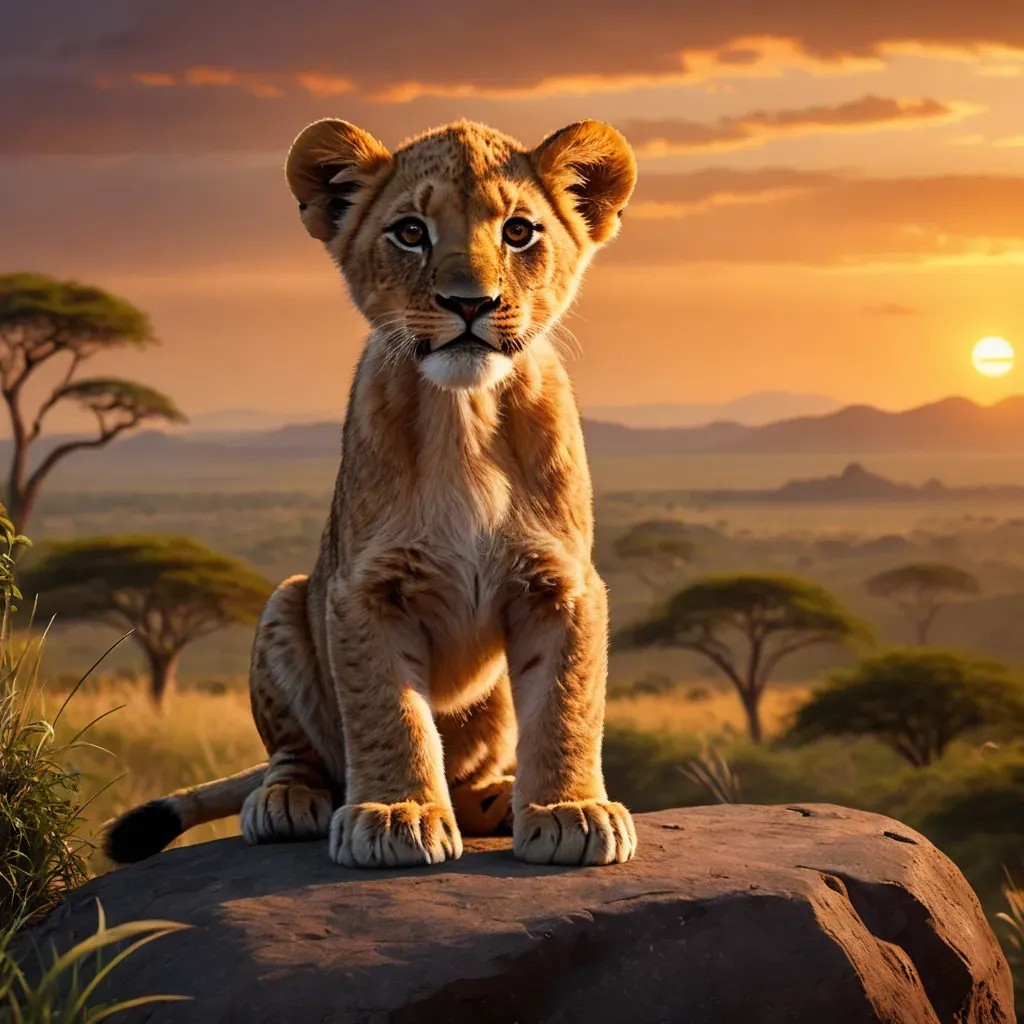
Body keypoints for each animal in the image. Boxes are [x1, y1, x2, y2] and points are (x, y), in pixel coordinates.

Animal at [104, 116, 638, 868]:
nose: (470, 303)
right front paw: (397, 815)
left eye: (519, 232)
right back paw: (285, 801)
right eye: (411, 232)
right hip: (287, 601)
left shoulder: (561, 583)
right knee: (299, 754)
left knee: (471, 769)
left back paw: (495, 798)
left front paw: (569, 811)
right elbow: (388, 710)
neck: (462, 413)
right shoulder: (362, 587)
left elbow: (566, 702)